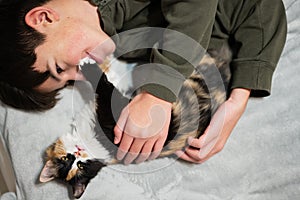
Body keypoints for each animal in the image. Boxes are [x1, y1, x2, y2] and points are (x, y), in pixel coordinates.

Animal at [39, 45, 232, 198]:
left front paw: (87, 63)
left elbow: (103, 81)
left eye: (78, 165)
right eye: (70, 162)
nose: (78, 152)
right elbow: (104, 83)